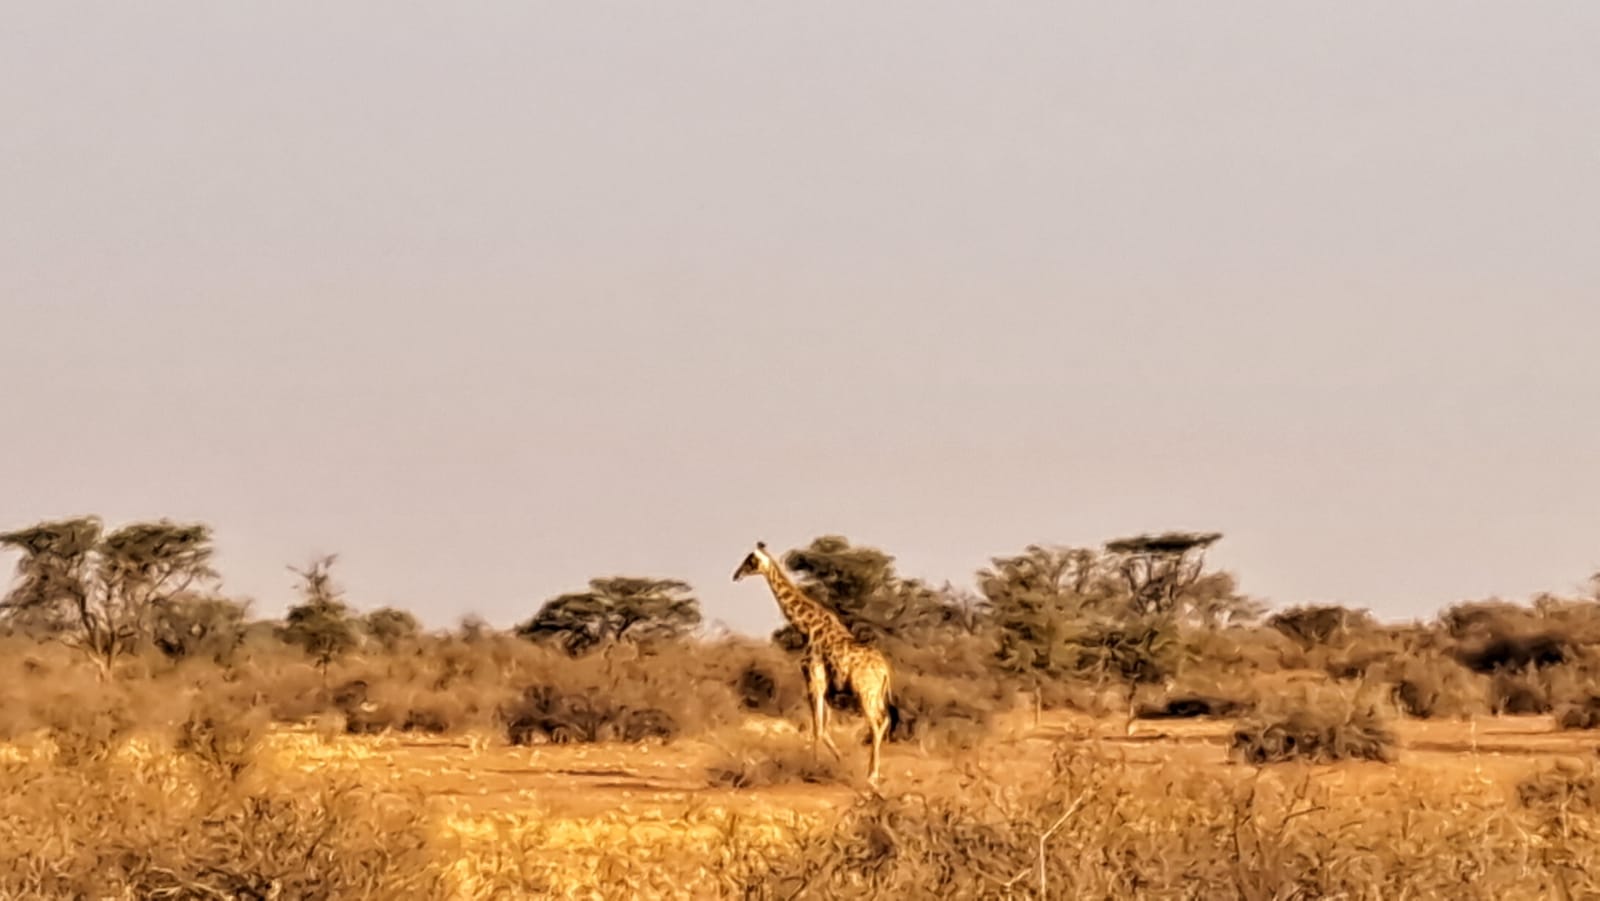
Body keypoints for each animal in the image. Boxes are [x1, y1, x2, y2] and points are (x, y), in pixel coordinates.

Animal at [733, 541, 893, 785]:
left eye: (751, 559)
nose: (736, 574)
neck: (807, 627)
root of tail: (885, 671)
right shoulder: (824, 685)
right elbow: (824, 726)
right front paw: (837, 760)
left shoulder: (812, 677)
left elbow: (816, 727)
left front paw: (814, 767)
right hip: (876, 695)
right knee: (884, 720)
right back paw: (874, 772)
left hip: (865, 693)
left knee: (875, 724)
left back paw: (871, 776)